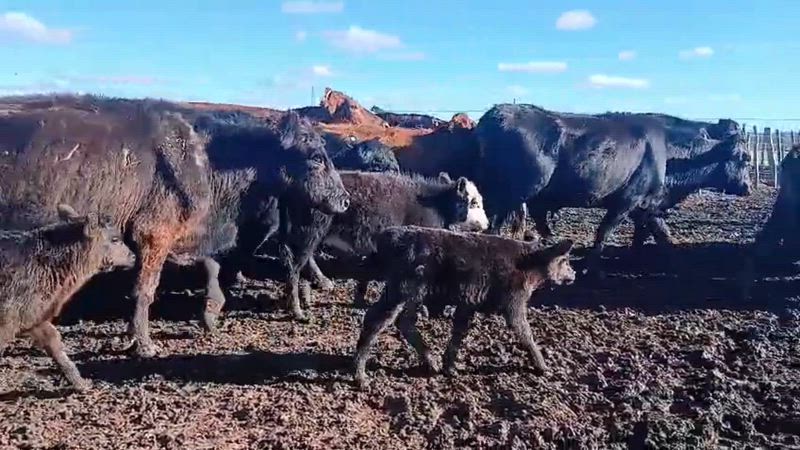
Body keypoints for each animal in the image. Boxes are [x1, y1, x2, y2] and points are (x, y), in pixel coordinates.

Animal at [0, 95, 349, 357]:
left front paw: (211, 313)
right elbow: (145, 289)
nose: (344, 200)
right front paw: (143, 344)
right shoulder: (154, 235)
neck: (205, 156)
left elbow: (210, 265)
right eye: (316, 157)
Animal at [0, 205, 136, 390]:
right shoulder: (8, 318)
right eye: (115, 239)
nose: (134, 257)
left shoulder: (34, 315)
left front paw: (80, 383)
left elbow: (55, 342)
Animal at [352, 226, 576, 389]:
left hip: (413, 294)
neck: (528, 264)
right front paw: (542, 366)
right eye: (564, 260)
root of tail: (389, 235)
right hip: (400, 288)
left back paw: (430, 362)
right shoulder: (514, 303)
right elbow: (525, 333)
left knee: (404, 322)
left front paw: (449, 367)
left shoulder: (468, 302)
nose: (573, 274)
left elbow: (459, 332)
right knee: (376, 319)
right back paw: (360, 376)